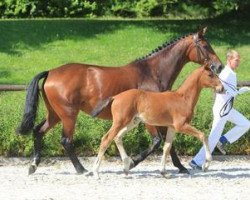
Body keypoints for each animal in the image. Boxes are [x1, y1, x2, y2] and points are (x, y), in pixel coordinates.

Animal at [91, 63, 224, 178]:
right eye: (210, 75)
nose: (222, 88)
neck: (183, 98)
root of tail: (116, 97)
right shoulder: (181, 125)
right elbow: (203, 136)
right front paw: (206, 165)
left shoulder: (172, 128)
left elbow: (167, 147)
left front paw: (163, 172)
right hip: (120, 122)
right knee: (106, 139)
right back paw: (96, 172)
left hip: (132, 122)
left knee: (117, 137)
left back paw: (126, 167)